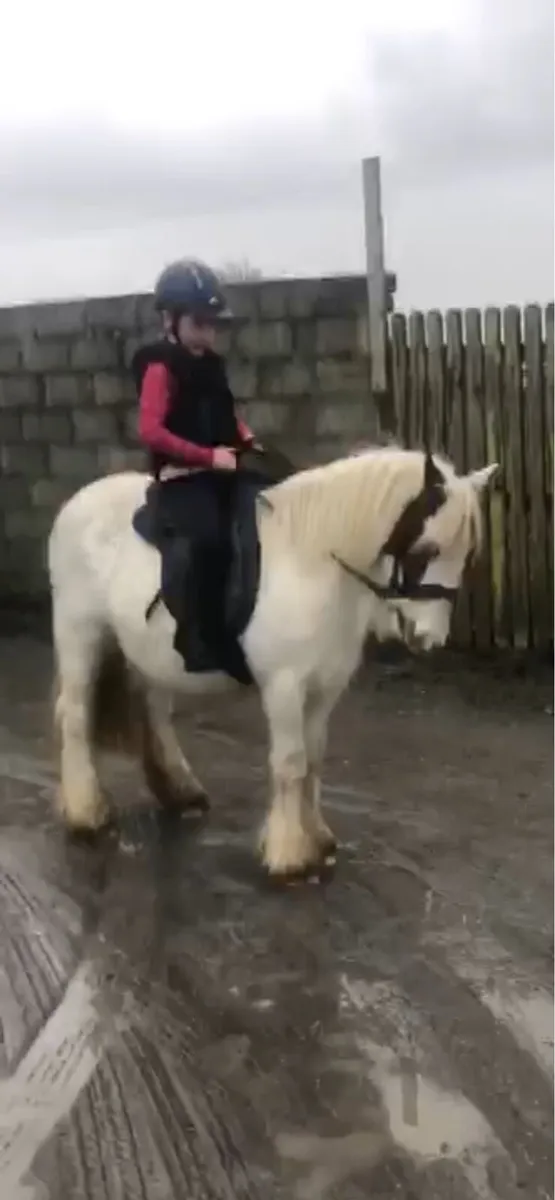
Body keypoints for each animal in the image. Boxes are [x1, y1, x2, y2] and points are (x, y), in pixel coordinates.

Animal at [47, 444, 498, 880]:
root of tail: (74, 505)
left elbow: (314, 758)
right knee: (76, 715)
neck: (312, 562)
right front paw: (289, 854)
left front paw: (318, 838)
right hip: (80, 633)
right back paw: (87, 815)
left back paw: (180, 792)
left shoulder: (325, 688)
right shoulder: (285, 685)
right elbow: (291, 762)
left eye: (468, 554)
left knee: (154, 712)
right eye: (427, 549)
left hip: (147, 653)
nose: (430, 638)